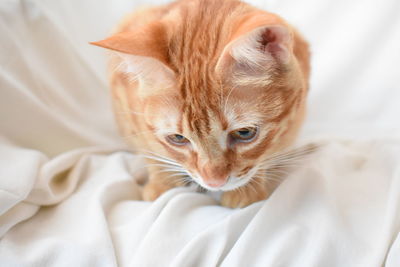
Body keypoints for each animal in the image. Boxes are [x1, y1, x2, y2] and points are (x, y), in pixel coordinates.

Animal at [92, 0, 310, 208]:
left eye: (244, 133)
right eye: (177, 138)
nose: (214, 182)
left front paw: (246, 190)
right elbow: (152, 151)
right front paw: (162, 184)